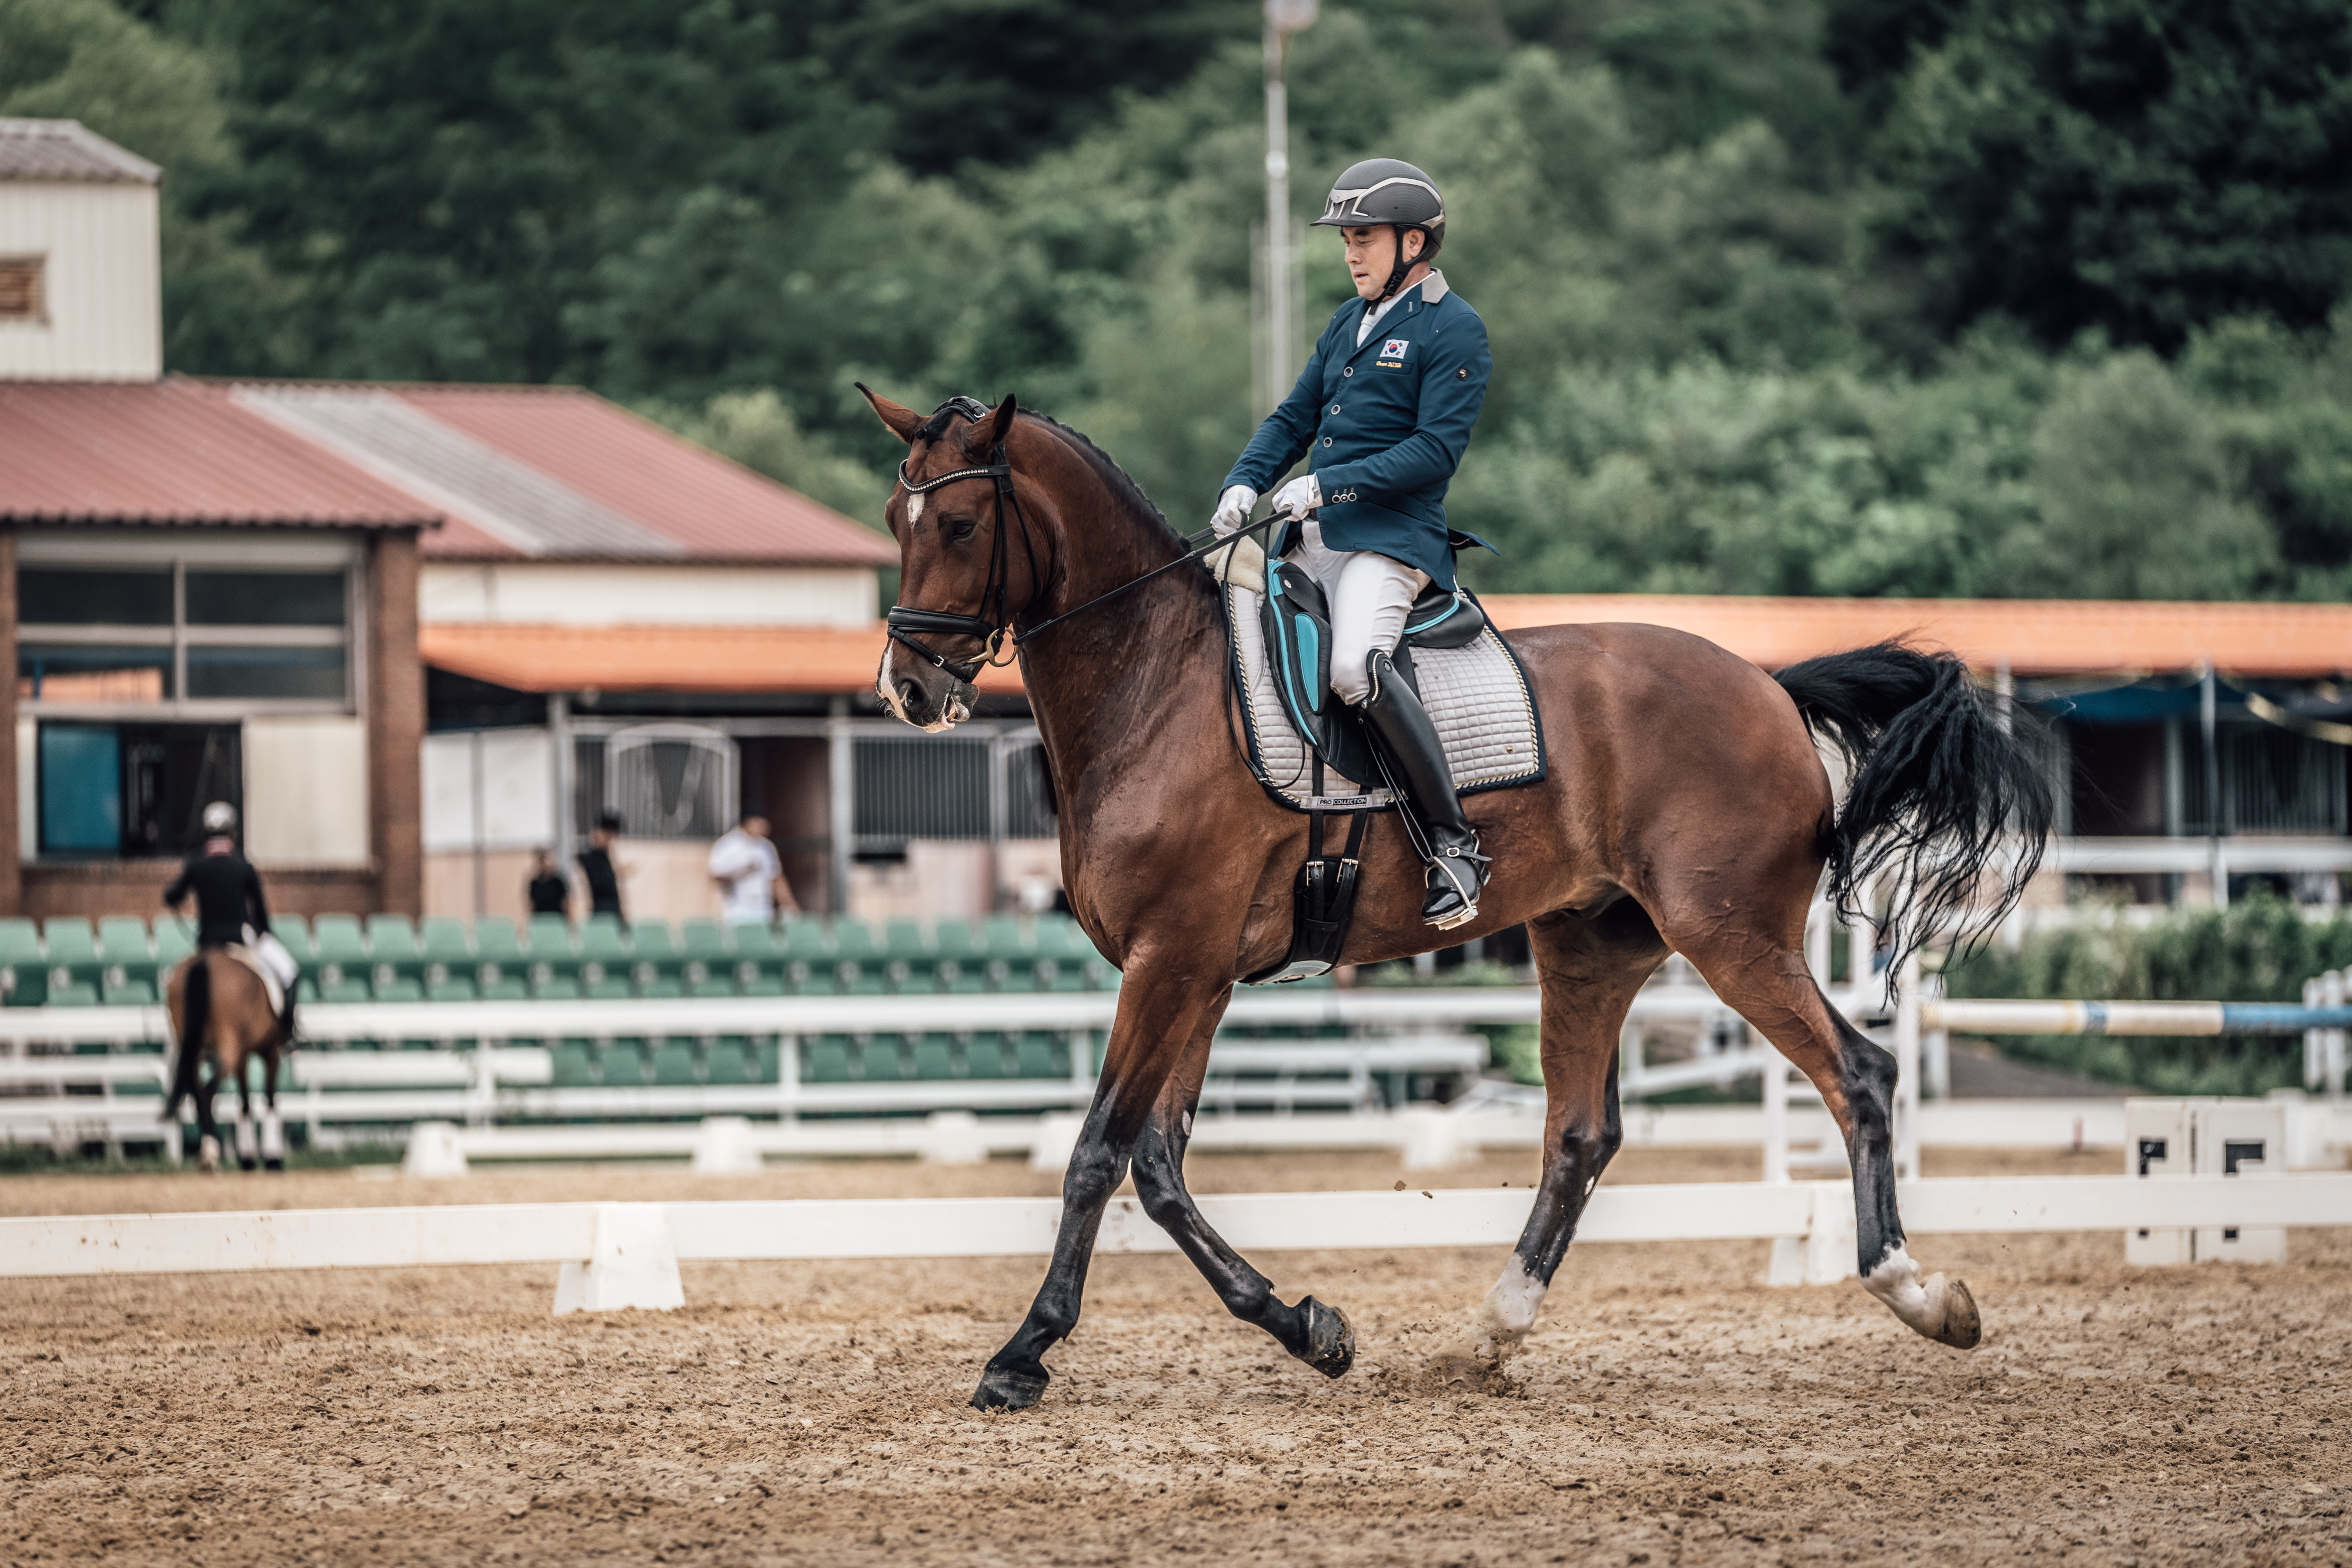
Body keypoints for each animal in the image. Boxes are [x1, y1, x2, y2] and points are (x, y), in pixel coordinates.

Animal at [163, 950, 292, 1171]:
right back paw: (211, 1155)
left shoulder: (243, 1056)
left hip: (192, 1048)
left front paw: (249, 1158)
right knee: (207, 1093)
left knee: (197, 1092)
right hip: (230, 1048)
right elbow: (269, 1099)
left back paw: (208, 1154)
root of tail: (205, 961)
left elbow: (245, 1102)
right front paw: (272, 1159)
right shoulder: (271, 1052)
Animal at [856, 390, 2051, 1410]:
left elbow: (1098, 1154)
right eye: (892, 519)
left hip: (1732, 935)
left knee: (1861, 1073)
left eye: (958, 522)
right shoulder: (1194, 971)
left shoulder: (1171, 960)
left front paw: (1023, 1352)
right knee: (1580, 1133)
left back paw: (1921, 1294)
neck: (1157, 686)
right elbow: (1159, 1168)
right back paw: (1488, 1331)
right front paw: (1310, 1326)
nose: (908, 690)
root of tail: (1770, 686)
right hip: (1592, 944)